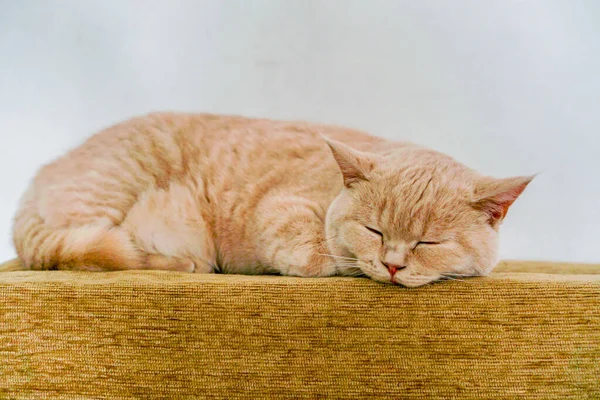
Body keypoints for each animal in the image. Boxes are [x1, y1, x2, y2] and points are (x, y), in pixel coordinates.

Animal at [11, 113, 532, 288]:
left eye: (429, 243)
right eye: (375, 230)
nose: (393, 264)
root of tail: (38, 177)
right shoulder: (281, 210)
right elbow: (320, 257)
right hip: (111, 191)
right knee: (91, 252)